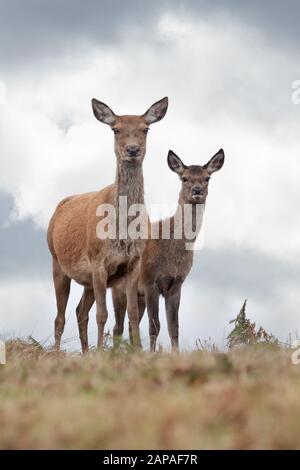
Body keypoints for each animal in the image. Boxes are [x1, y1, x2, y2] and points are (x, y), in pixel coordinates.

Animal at [47, 97, 169, 350]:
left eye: (146, 129)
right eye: (116, 129)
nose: (132, 149)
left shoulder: (133, 264)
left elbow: (133, 314)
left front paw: (136, 351)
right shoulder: (98, 262)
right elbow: (102, 315)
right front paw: (102, 352)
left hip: (87, 281)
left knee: (79, 311)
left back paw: (85, 352)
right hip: (57, 262)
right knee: (60, 316)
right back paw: (56, 352)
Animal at [112, 149, 225, 350]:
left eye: (207, 178)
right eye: (184, 178)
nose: (197, 190)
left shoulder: (176, 285)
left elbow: (174, 327)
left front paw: (175, 353)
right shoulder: (149, 281)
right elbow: (154, 326)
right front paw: (151, 354)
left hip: (137, 295)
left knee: (130, 324)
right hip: (119, 288)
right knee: (117, 327)